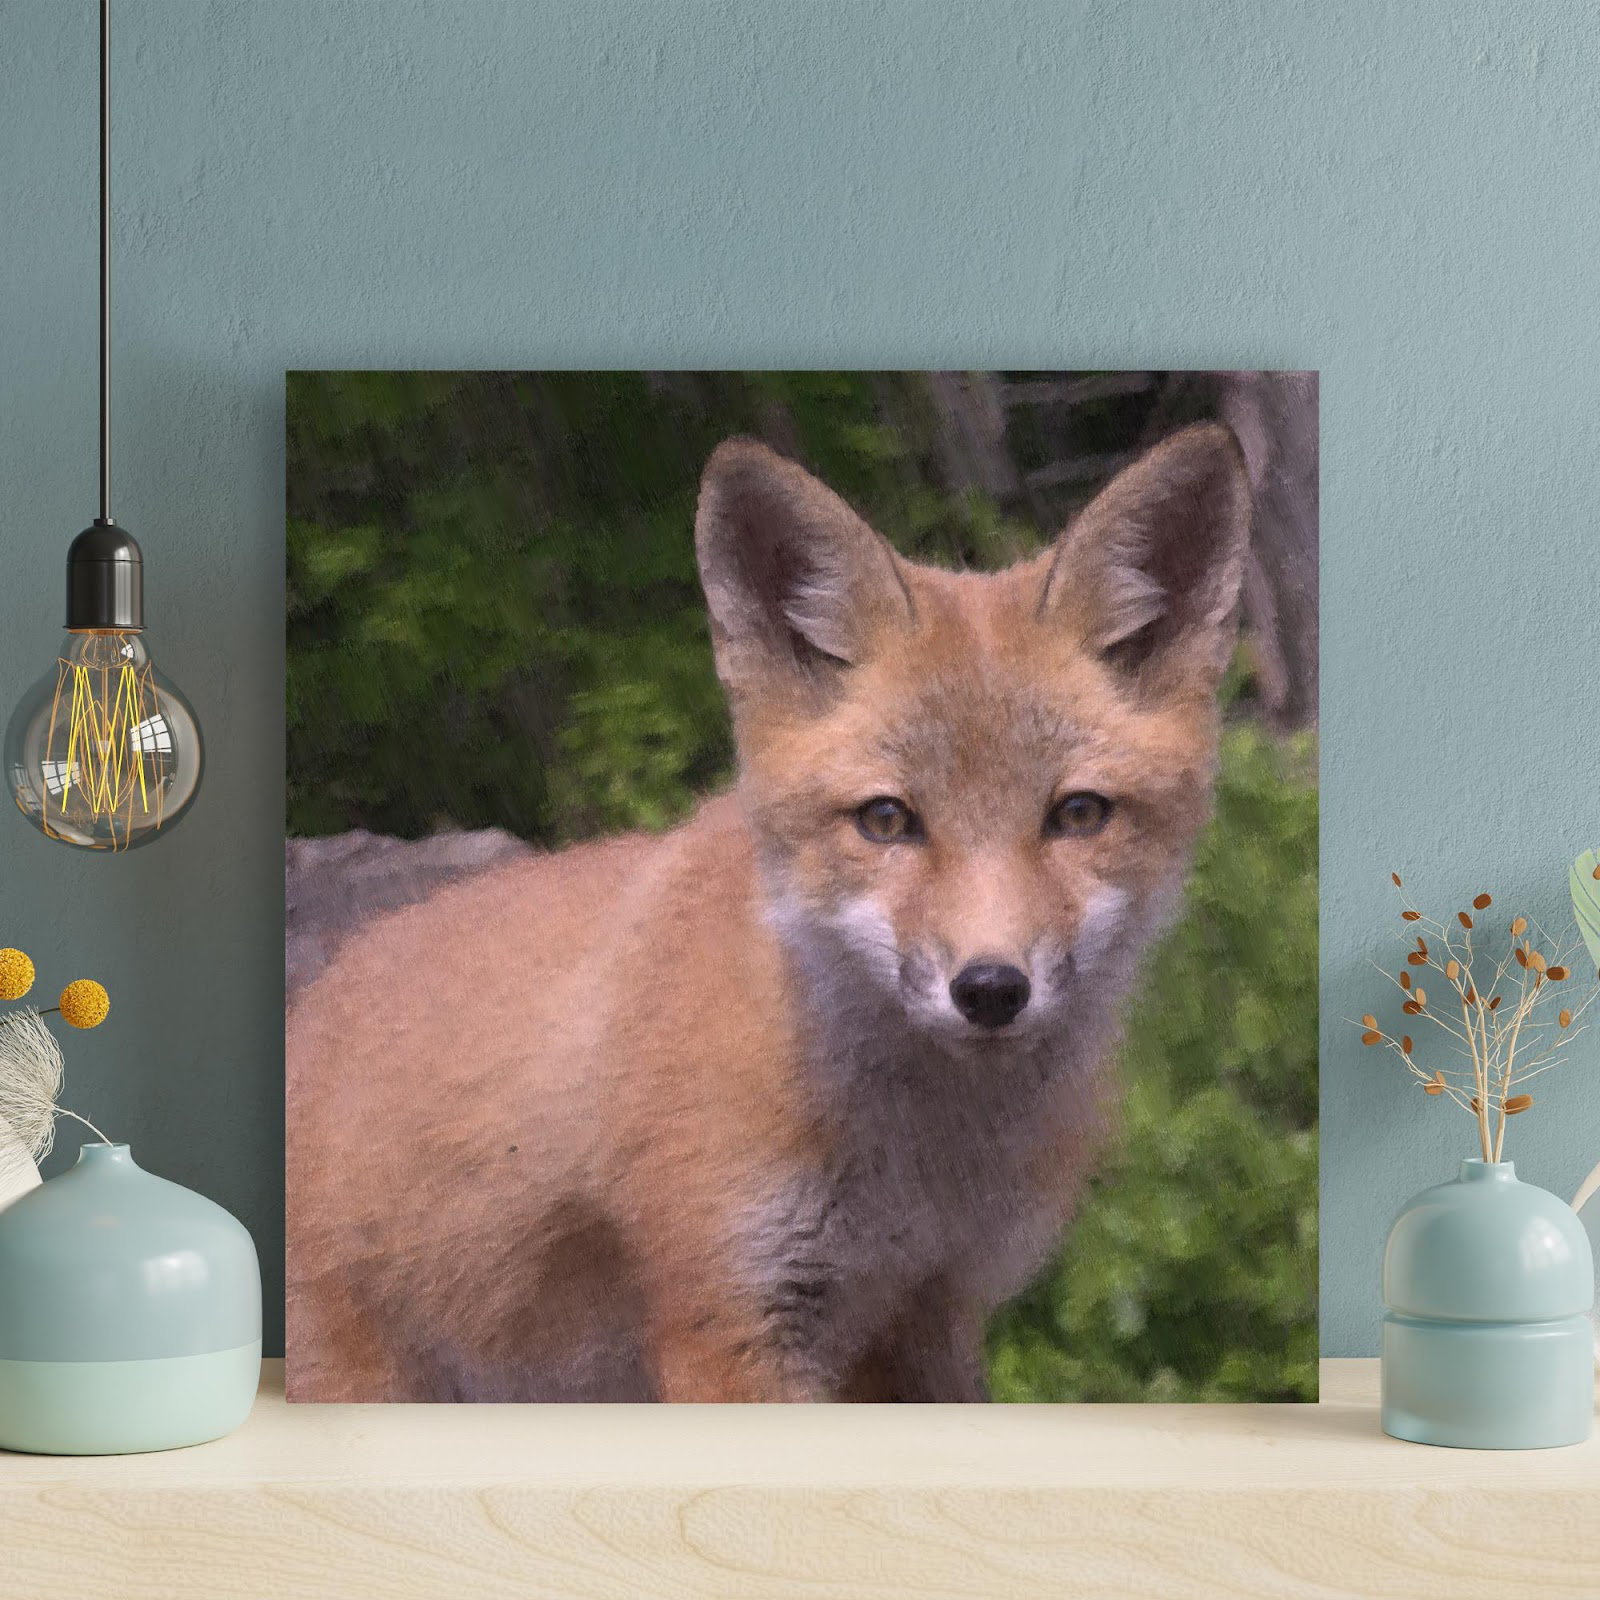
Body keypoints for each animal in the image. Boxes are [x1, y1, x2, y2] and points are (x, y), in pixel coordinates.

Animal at [285, 422, 1251, 1403]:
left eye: (1079, 814)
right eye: (886, 820)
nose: (989, 990)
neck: (916, 1171)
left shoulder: (928, 1315)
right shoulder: (728, 1315)